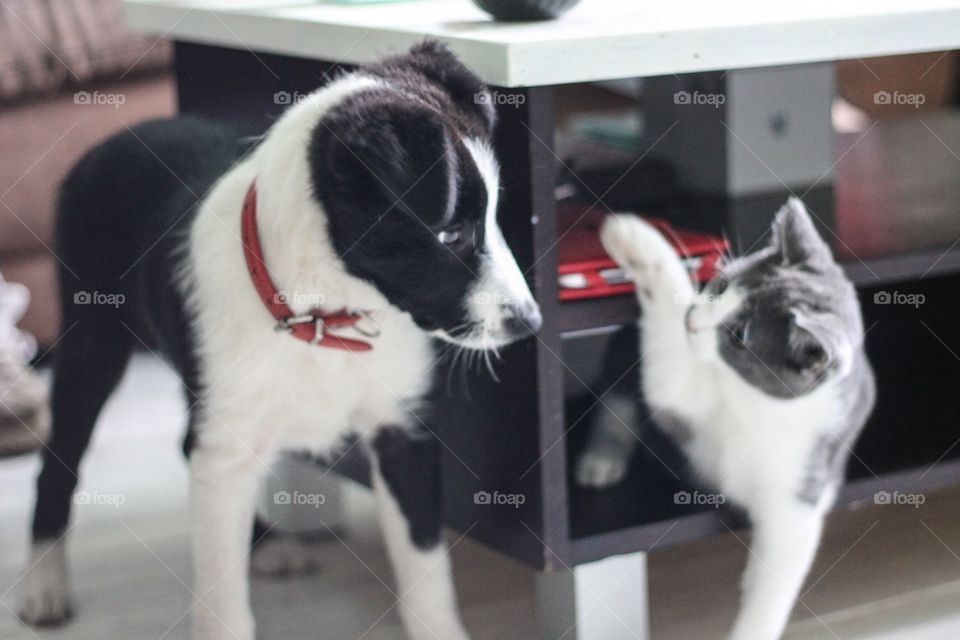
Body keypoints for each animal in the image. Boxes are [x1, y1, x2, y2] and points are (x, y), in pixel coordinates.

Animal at [15, 42, 540, 636]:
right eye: (450, 233)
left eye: (495, 214)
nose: (530, 323)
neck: (324, 316)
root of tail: (112, 137)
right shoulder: (226, 448)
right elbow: (222, 604)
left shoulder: (403, 432)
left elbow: (426, 569)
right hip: (92, 341)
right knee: (58, 462)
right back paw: (43, 584)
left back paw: (265, 546)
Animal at [572, 199, 872, 640]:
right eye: (721, 285)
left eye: (739, 336)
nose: (692, 321)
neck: (756, 406)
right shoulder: (690, 399)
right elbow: (667, 348)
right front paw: (632, 234)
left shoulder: (800, 487)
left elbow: (778, 572)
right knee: (618, 397)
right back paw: (600, 461)